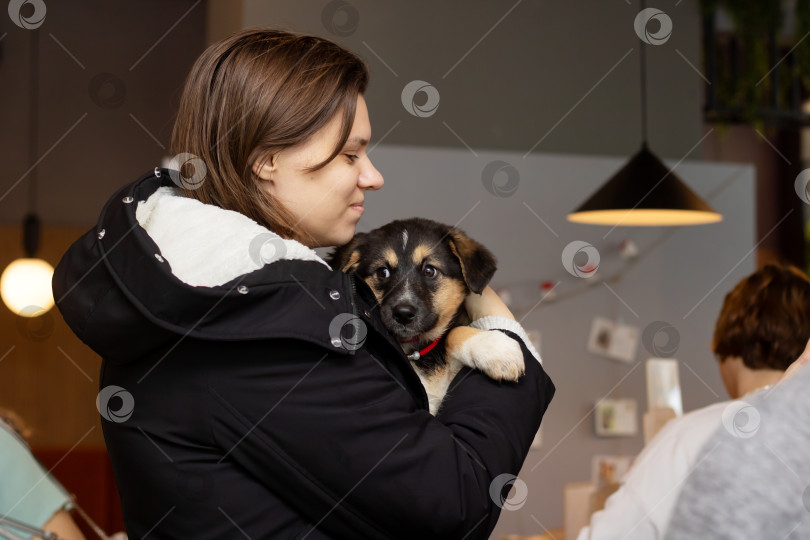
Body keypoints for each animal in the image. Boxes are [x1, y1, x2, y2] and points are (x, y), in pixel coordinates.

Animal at [328, 218, 524, 414]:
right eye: (383, 272)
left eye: (429, 270)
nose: (403, 314)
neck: (414, 350)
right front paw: (496, 349)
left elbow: (453, 332)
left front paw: (496, 349)